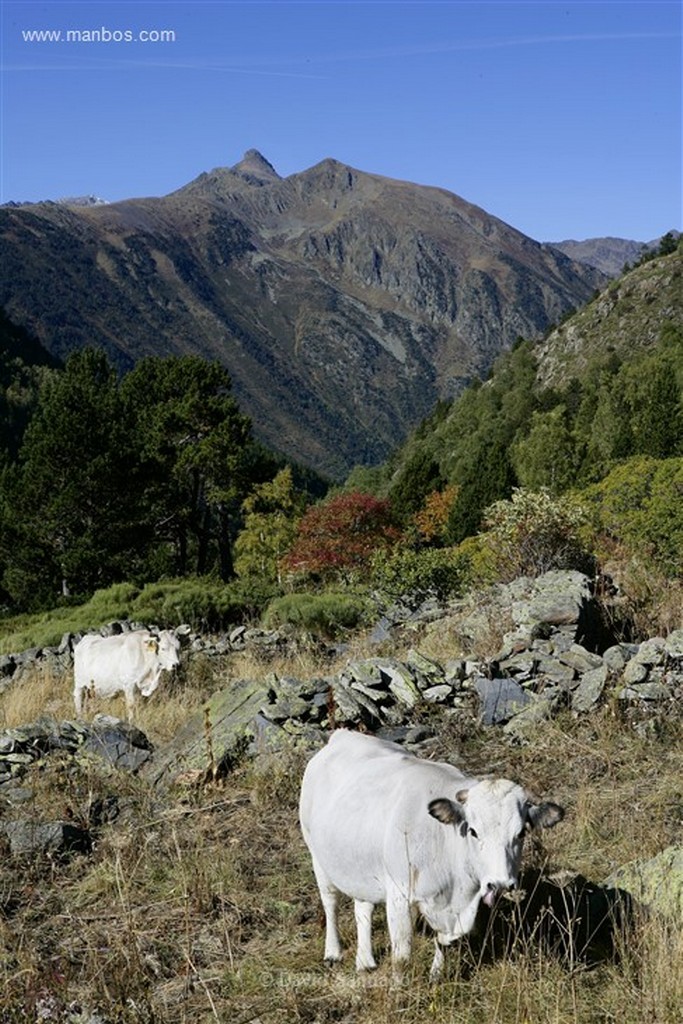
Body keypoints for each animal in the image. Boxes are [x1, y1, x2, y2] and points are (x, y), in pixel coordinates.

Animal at [296, 729, 565, 974]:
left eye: (521, 833)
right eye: (473, 831)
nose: (499, 883)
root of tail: (343, 735)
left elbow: (443, 942)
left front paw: (437, 975)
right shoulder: (399, 894)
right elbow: (402, 957)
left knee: (363, 907)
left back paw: (365, 961)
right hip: (316, 854)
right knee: (330, 902)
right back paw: (333, 952)